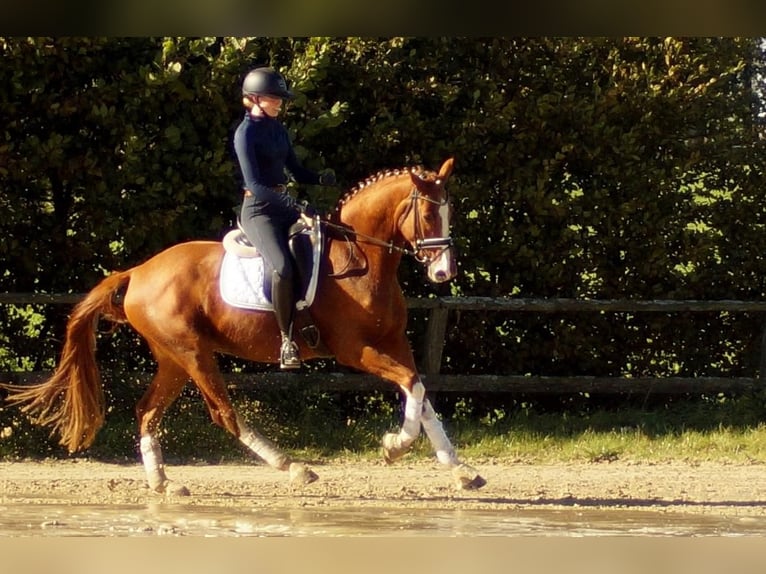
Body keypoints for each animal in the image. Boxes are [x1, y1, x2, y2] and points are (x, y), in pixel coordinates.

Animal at [4, 158, 486, 496]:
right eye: (429, 215)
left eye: (450, 212)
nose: (444, 273)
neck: (360, 260)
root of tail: (138, 271)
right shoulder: (355, 350)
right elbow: (411, 386)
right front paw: (394, 446)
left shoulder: (394, 342)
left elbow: (421, 393)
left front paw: (460, 470)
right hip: (194, 354)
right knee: (223, 413)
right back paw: (293, 467)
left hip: (173, 359)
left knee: (147, 412)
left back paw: (164, 483)